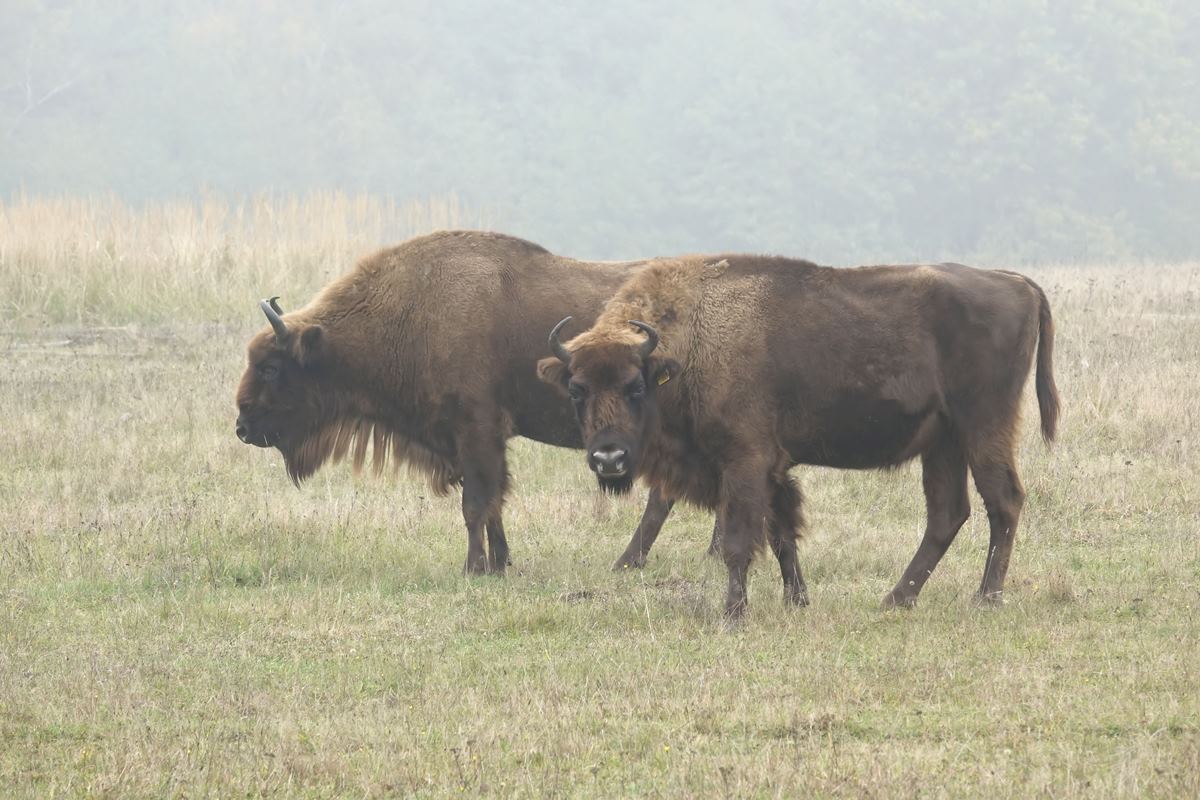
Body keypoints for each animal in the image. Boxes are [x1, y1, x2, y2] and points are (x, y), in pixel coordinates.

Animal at [231, 231, 710, 575]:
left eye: (270, 366)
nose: (242, 426)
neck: (412, 307)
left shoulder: (477, 430)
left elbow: (476, 502)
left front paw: (474, 567)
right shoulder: (465, 442)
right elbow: (492, 501)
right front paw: (500, 563)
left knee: (663, 496)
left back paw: (629, 561)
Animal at [542, 256, 1060, 618]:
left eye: (635, 386)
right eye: (576, 389)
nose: (608, 458)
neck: (689, 342)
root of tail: (1017, 282)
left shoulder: (745, 463)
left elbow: (739, 541)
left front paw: (734, 614)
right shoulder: (773, 469)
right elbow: (782, 534)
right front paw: (797, 600)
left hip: (984, 427)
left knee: (1003, 501)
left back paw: (986, 598)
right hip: (944, 443)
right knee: (947, 513)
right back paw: (896, 598)